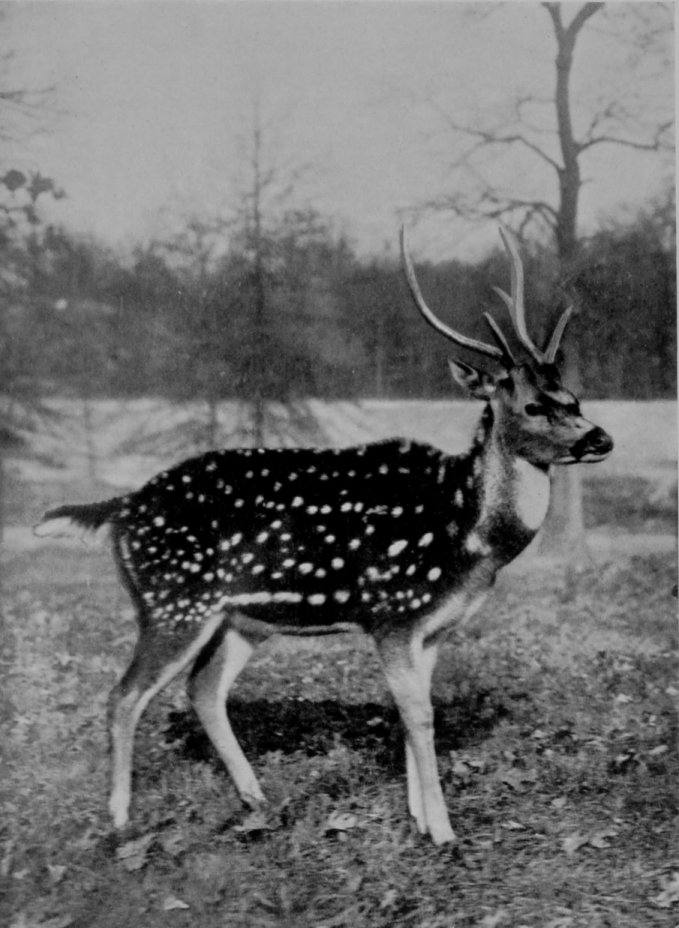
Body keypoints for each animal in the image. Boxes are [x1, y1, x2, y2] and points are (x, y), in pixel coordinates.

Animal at [35, 225, 613, 846]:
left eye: (573, 397)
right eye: (533, 405)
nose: (601, 438)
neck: (468, 533)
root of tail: (121, 508)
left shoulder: (432, 627)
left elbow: (411, 713)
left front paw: (417, 818)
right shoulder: (393, 612)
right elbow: (420, 715)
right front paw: (443, 833)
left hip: (239, 618)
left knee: (202, 689)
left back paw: (257, 800)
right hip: (172, 602)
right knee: (124, 695)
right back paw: (121, 818)